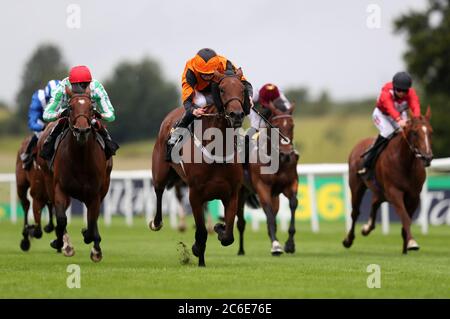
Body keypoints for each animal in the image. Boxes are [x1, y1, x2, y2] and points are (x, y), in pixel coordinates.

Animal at [37, 85, 113, 262]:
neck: (81, 159)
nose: (82, 130)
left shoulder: (94, 193)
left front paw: (94, 246)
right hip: (48, 181)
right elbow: (61, 219)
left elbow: (92, 220)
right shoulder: (60, 188)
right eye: (70, 107)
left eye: (91, 108)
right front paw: (62, 244)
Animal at [153, 70, 248, 268]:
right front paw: (198, 252)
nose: (236, 115)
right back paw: (157, 222)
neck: (217, 150)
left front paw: (219, 227)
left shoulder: (232, 194)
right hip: (160, 171)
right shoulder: (195, 194)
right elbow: (201, 231)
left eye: (242, 89)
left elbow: (228, 236)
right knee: (158, 190)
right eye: (222, 89)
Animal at [237, 106, 298, 256]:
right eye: (276, 126)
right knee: (241, 222)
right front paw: (276, 245)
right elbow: (268, 212)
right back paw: (240, 249)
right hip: (240, 191)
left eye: (292, 125)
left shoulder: (290, 183)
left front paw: (290, 244)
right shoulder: (262, 187)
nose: (286, 154)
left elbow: (293, 203)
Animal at [342, 109, 434, 254]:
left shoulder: (414, 195)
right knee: (355, 213)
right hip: (357, 186)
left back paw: (367, 228)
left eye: (431, 132)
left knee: (374, 202)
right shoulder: (394, 192)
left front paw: (406, 247)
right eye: (414, 132)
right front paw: (412, 242)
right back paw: (348, 240)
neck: (405, 163)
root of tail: (358, 145)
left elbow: (407, 218)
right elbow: (405, 217)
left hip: (380, 190)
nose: (427, 157)